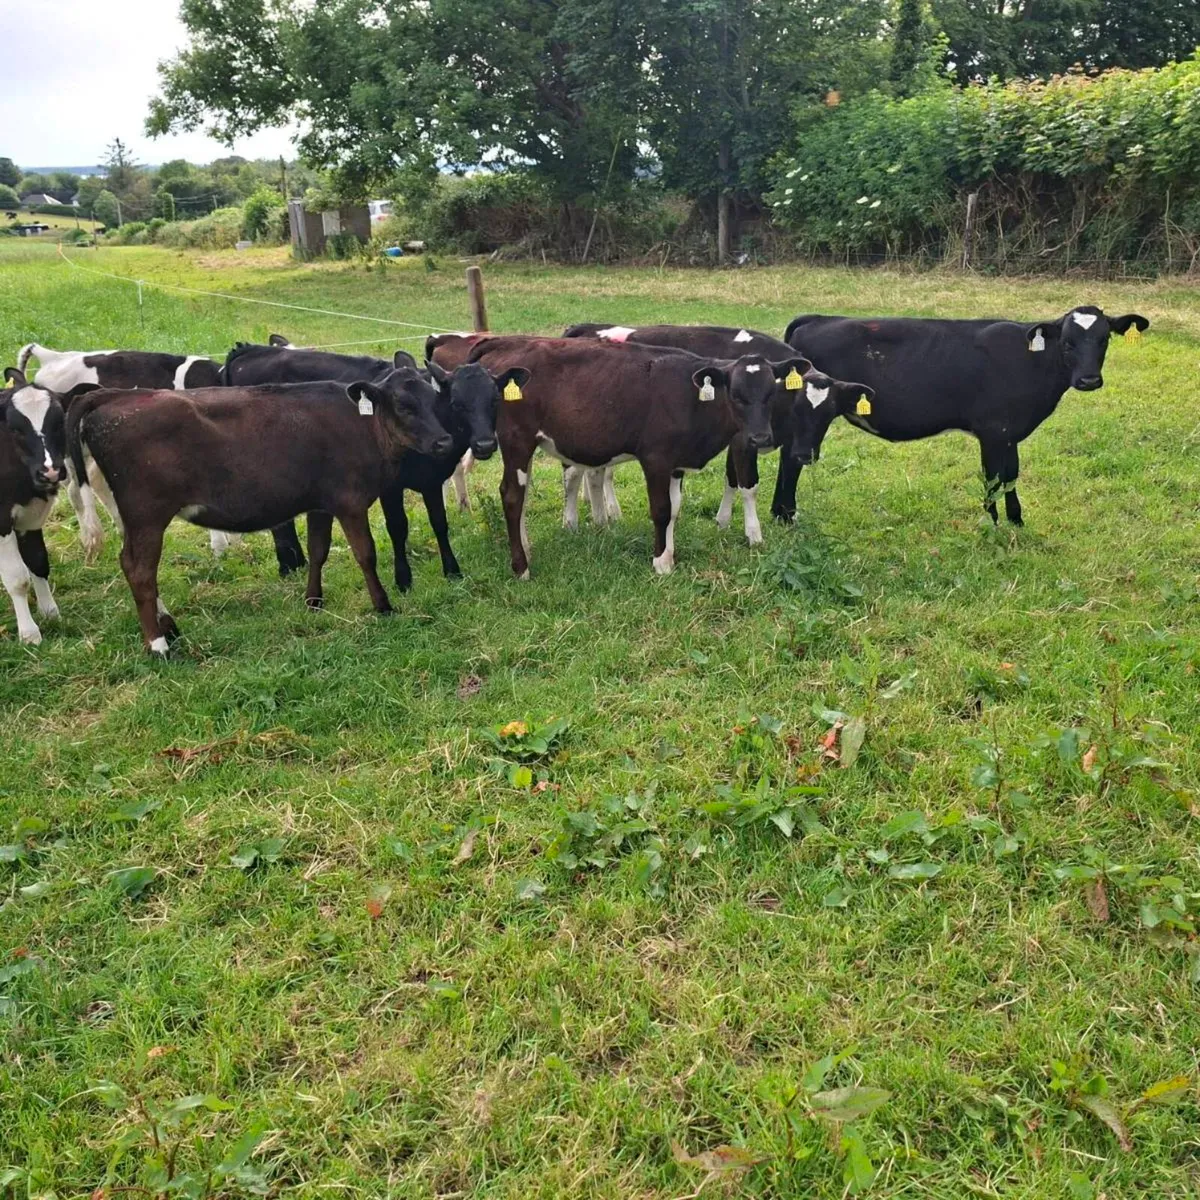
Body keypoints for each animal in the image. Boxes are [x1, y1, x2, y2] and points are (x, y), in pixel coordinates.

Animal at [66, 368, 453, 655]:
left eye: (435, 400)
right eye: (404, 405)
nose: (444, 441)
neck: (363, 425)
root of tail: (114, 395)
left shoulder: (321, 503)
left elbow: (318, 550)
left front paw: (313, 601)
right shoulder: (350, 502)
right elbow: (365, 555)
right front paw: (383, 605)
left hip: (129, 516)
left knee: (133, 565)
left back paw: (168, 627)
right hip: (147, 514)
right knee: (140, 570)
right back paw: (158, 644)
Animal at [465, 336, 808, 577]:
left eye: (771, 393)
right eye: (736, 395)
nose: (760, 438)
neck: (691, 397)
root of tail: (507, 342)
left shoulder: (675, 463)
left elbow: (675, 509)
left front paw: (669, 554)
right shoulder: (655, 458)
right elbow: (661, 509)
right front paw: (660, 563)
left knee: (520, 497)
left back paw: (526, 549)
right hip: (516, 440)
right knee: (512, 496)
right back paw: (521, 567)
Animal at [781, 307, 1150, 525]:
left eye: (1104, 340)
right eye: (1068, 343)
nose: (1089, 380)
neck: (1030, 361)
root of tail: (817, 317)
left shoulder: (1009, 433)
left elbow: (1011, 475)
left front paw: (1016, 521)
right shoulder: (992, 430)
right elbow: (993, 478)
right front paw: (992, 524)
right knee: (791, 460)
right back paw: (785, 516)